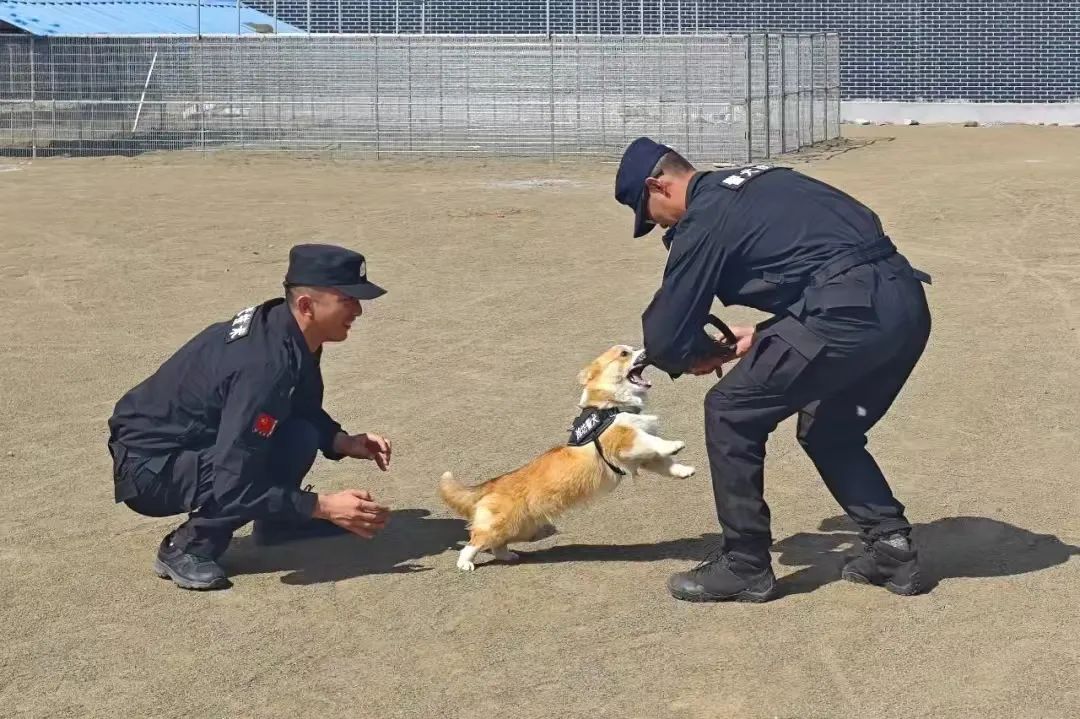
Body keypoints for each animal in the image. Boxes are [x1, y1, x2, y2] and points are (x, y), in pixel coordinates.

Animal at [436, 343, 691, 570]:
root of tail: (491, 485)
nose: (649, 350)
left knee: (497, 544)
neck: (611, 405)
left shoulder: (639, 457)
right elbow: (653, 441)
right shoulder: (625, 439)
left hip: (523, 528)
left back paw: (508, 556)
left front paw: (684, 471)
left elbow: (664, 463)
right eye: (624, 353)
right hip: (503, 524)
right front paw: (675, 444)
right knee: (475, 541)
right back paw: (465, 563)